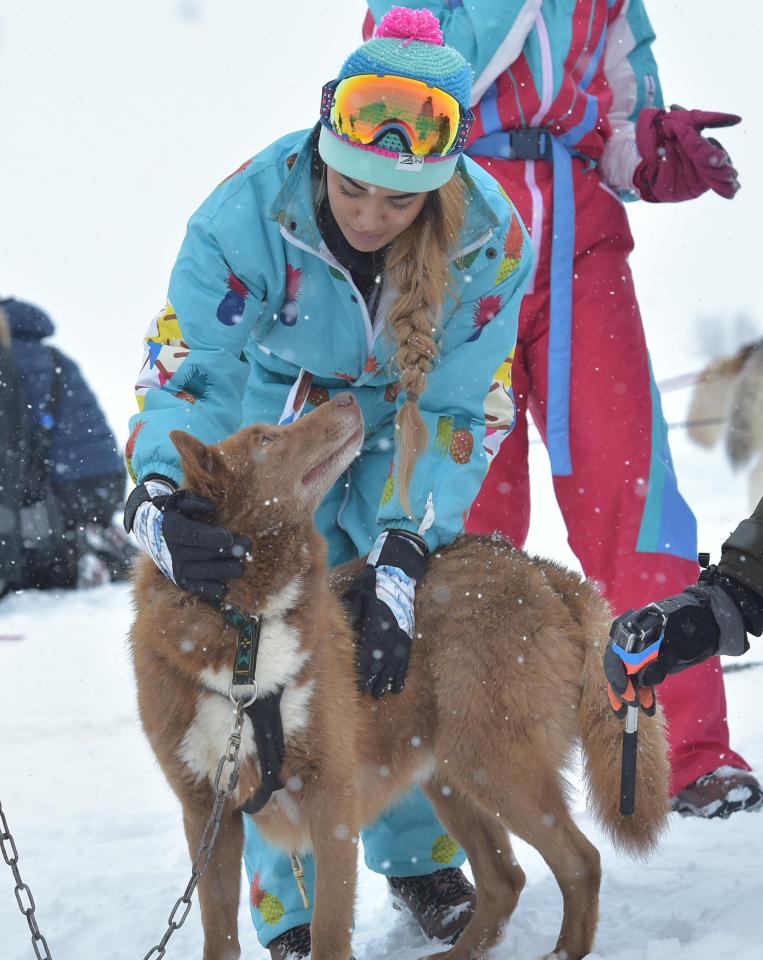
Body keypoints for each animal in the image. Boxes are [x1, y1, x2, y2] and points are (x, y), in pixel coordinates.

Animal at [128, 392, 672, 960]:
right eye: (267, 439)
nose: (345, 397)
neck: (246, 626)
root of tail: (534, 565)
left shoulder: (332, 797)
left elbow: (329, 930)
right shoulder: (207, 814)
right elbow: (219, 934)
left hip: (491, 763)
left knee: (580, 862)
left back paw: (562, 950)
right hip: (451, 774)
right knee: (505, 879)